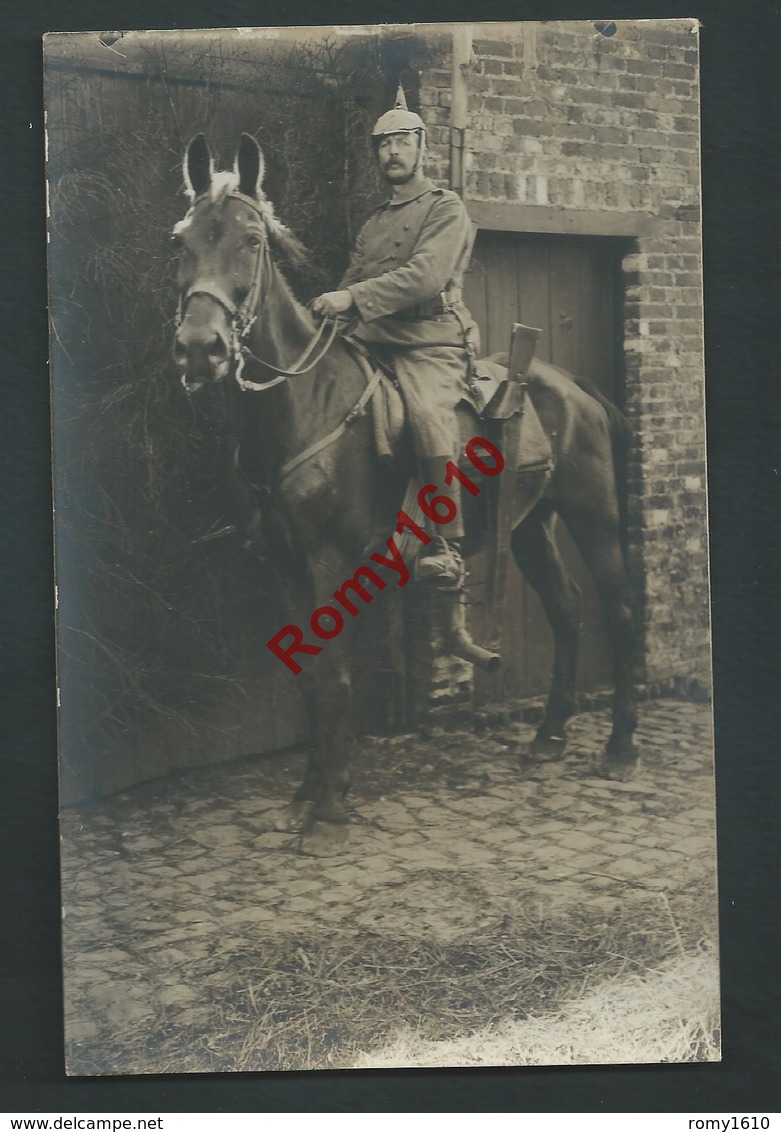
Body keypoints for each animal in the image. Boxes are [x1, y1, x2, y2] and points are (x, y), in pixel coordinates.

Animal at [172, 132, 638, 851]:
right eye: (182, 240)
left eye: (251, 241)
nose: (200, 349)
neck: (304, 403)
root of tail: (574, 386)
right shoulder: (281, 563)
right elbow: (309, 680)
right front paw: (303, 798)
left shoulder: (329, 561)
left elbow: (336, 679)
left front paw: (331, 810)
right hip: (530, 525)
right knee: (565, 609)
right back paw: (549, 735)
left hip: (594, 516)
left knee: (617, 610)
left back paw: (619, 749)